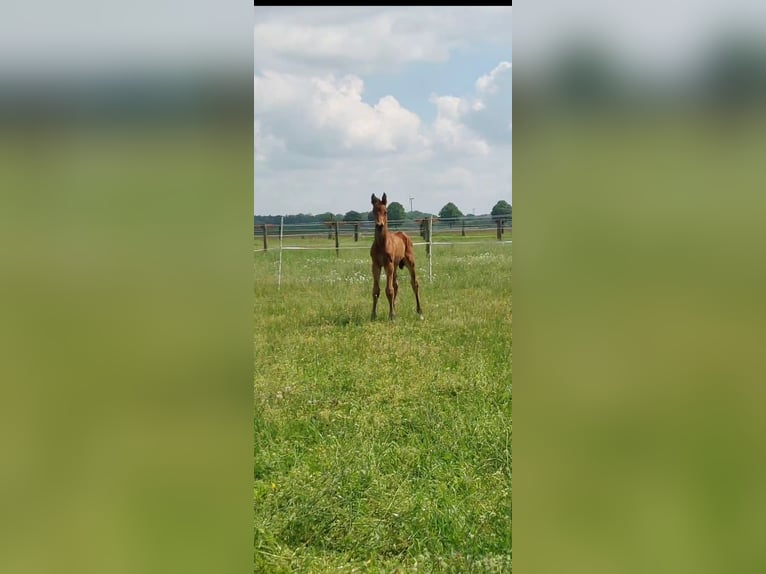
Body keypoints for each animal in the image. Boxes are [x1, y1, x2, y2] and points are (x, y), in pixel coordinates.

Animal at [369, 193, 423, 321]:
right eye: (373, 211)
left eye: (385, 211)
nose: (379, 225)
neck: (382, 244)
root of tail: (403, 234)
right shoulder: (376, 265)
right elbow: (376, 290)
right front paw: (373, 315)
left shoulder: (388, 264)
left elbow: (389, 290)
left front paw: (392, 315)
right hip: (395, 266)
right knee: (396, 285)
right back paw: (395, 309)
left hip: (409, 262)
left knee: (414, 283)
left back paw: (419, 311)